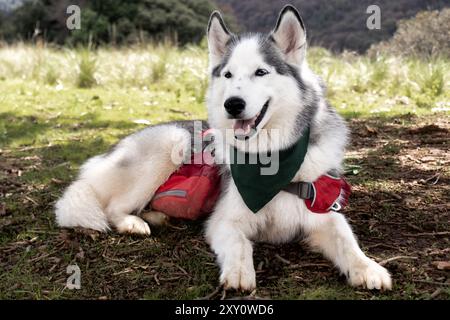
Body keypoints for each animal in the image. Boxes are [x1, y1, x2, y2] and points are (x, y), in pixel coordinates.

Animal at [55, 4, 390, 290]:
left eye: (261, 72)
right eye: (228, 74)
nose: (233, 104)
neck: (270, 160)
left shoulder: (322, 211)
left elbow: (348, 241)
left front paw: (369, 268)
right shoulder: (225, 220)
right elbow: (240, 244)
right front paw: (240, 273)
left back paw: (158, 215)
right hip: (172, 141)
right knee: (112, 207)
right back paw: (133, 222)